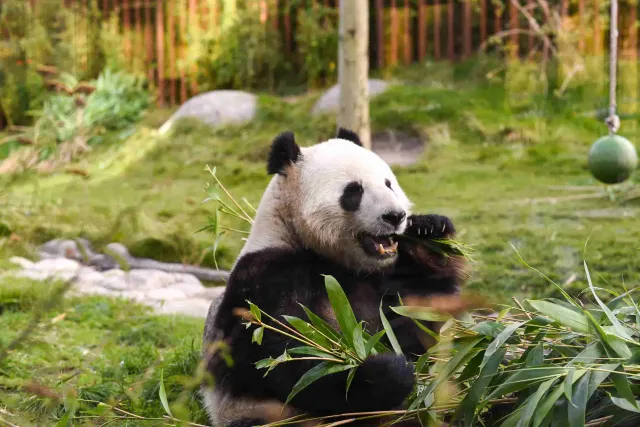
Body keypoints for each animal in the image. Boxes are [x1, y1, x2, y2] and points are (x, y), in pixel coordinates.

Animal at [202, 130, 468, 427]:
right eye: (354, 191)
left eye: (389, 184)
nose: (395, 216)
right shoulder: (268, 277)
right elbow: (284, 360)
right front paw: (388, 372)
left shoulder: (383, 276)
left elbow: (423, 319)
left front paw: (429, 232)